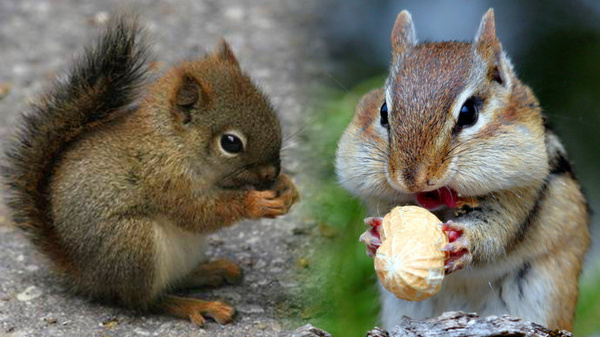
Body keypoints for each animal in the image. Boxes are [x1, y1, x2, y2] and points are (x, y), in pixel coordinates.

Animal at [2, 16, 298, 326]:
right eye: (230, 143)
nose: (270, 173)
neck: (174, 142)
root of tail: (85, 275)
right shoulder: (163, 178)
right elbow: (197, 213)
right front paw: (255, 203)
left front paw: (287, 187)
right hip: (134, 243)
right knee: (144, 301)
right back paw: (195, 305)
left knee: (174, 281)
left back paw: (209, 271)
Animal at [338, 9, 592, 330]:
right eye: (383, 112)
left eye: (469, 112)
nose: (412, 180)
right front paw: (373, 236)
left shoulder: (523, 189)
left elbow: (500, 228)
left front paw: (465, 241)